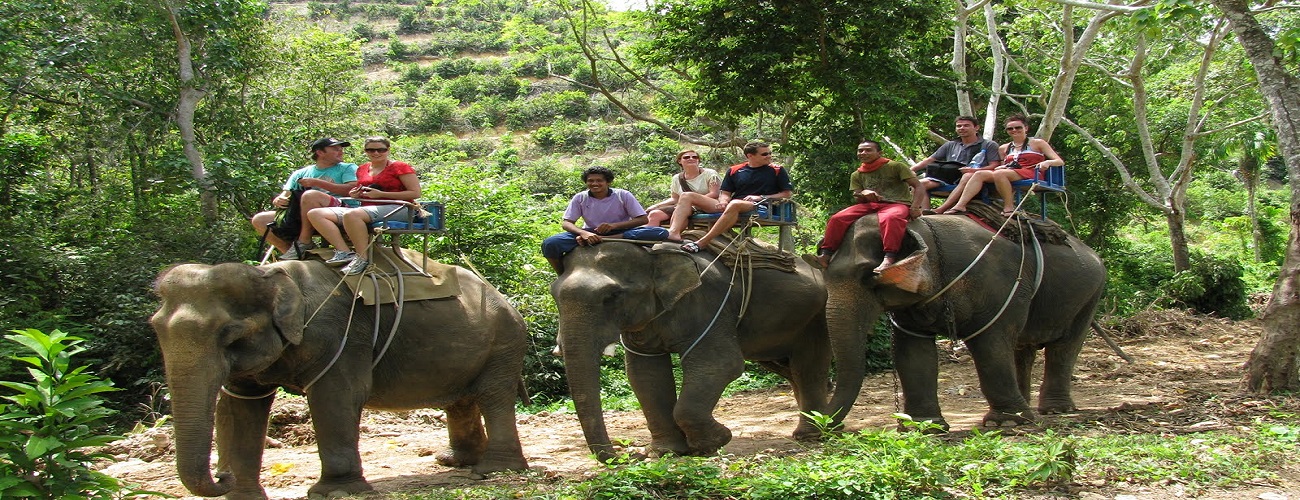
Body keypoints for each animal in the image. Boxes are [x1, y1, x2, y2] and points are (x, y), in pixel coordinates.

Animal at [150, 252, 529, 499]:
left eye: (230, 336)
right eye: (155, 329)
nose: (221, 474)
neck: (273, 276)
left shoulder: (340, 336)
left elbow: (338, 396)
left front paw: (337, 492)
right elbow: (239, 407)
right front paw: (242, 495)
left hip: (504, 343)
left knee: (493, 397)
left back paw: (494, 470)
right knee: (462, 401)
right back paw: (454, 462)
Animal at [550, 240, 831, 462]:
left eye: (612, 295)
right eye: (554, 295)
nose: (625, 455)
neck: (652, 253)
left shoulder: (709, 302)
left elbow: (721, 363)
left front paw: (716, 441)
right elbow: (645, 374)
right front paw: (665, 452)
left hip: (814, 318)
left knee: (808, 368)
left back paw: (812, 434)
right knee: (788, 369)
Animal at [823, 210, 1106, 430]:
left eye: (868, 277)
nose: (822, 427)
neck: (926, 229)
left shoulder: (996, 286)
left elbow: (990, 345)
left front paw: (1004, 423)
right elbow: (912, 352)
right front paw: (924, 427)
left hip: (1089, 295)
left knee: (1064, 347)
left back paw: (1054, 411)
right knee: (1023, 349)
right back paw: (1027, 408)